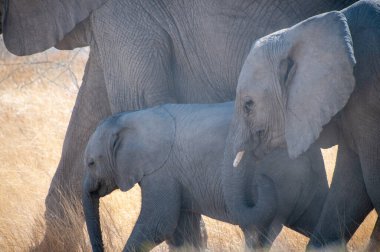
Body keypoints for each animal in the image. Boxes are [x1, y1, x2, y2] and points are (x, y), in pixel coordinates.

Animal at [81, 101, 328, 251]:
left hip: (281, 175)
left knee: (261, 231)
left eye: (91, 163)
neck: (130, 118)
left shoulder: (162, 172)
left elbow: (158, 224)